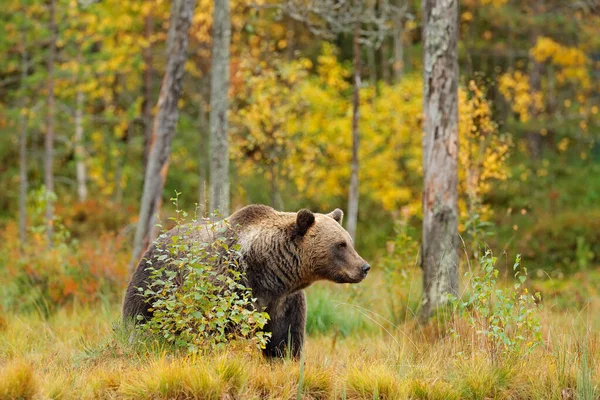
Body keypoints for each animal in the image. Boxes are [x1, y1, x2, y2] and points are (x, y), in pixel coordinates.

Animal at [122, 205, 370, 358]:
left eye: (349, 241)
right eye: (340, 244)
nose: (364, 267)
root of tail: (157, 240)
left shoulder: (285, 302)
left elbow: (285, 341)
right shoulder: (230, 287)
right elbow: (216, 331)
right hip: (154, 286)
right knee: (139, 320)